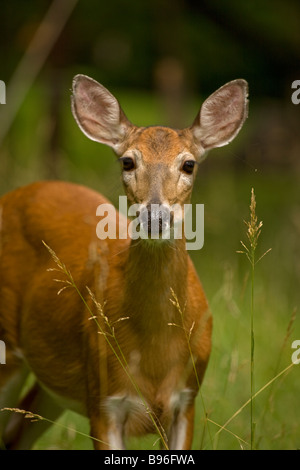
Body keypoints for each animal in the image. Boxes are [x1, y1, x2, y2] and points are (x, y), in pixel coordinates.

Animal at [0, 75, 248, 450]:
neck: (155, 351)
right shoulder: (104, 400)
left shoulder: (186, 400)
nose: (155, 217)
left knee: (15, 433)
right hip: (7, 347)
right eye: (128, 162)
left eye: (189, 164)